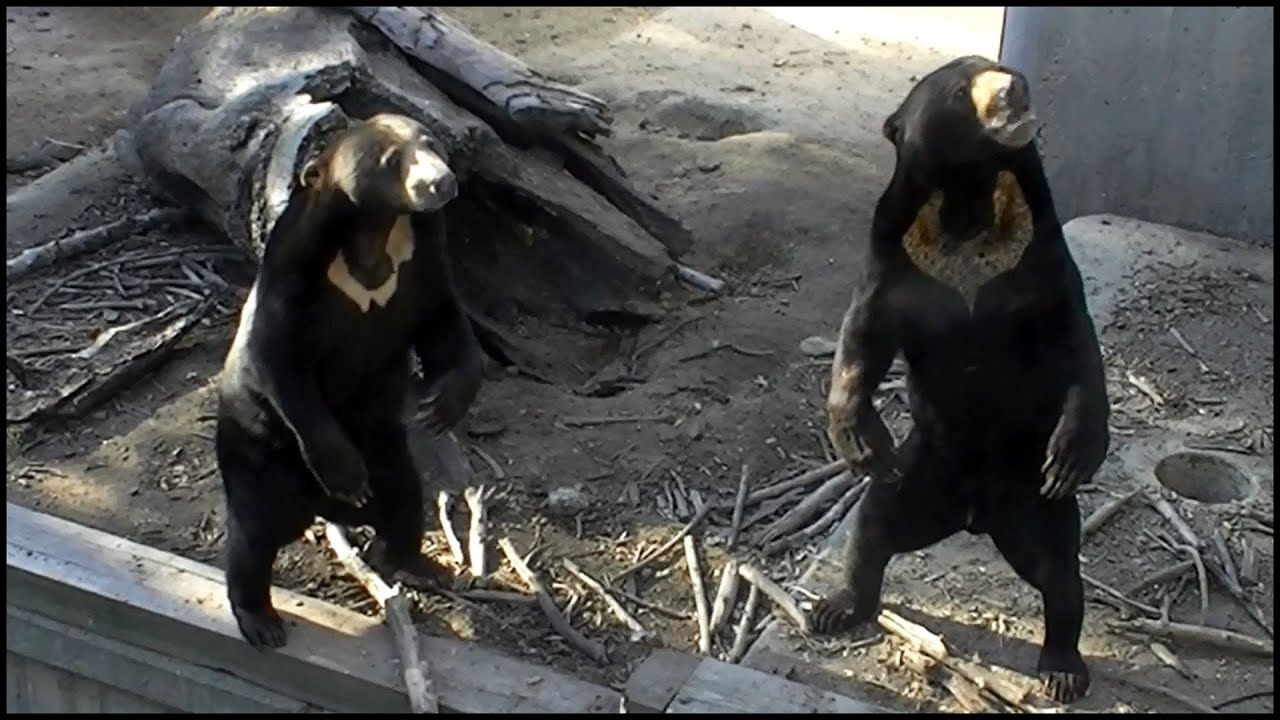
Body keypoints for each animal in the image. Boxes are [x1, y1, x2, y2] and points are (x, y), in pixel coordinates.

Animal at [215, 113, 485, 649]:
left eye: (431, 143)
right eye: (392, 160)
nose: (441, 183)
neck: (374, 232)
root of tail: (323, 511)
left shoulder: (422, 257)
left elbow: (442, 319)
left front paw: (440, 406)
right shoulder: (294, 267)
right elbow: (280, 359)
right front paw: (344, 471)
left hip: (385, 449)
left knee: (404, 498)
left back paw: (411, 560)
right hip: (257, 451)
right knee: (254, 532)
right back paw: (260, 619)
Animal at [813, 56, 1111, 704]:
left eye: (1004, 70)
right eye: (959, 89)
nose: (1014, 89)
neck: (969, 197)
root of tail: (975, 517)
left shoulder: (1040, 255)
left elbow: (1075, 342)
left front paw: (1075, 453)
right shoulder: (895, 256)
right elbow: (864, 337)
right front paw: (860, 440)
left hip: (1035, 504)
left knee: (1061, 576)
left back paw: (1062, 670)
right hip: (918, 476)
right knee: (870, 531)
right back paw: (836, 607)